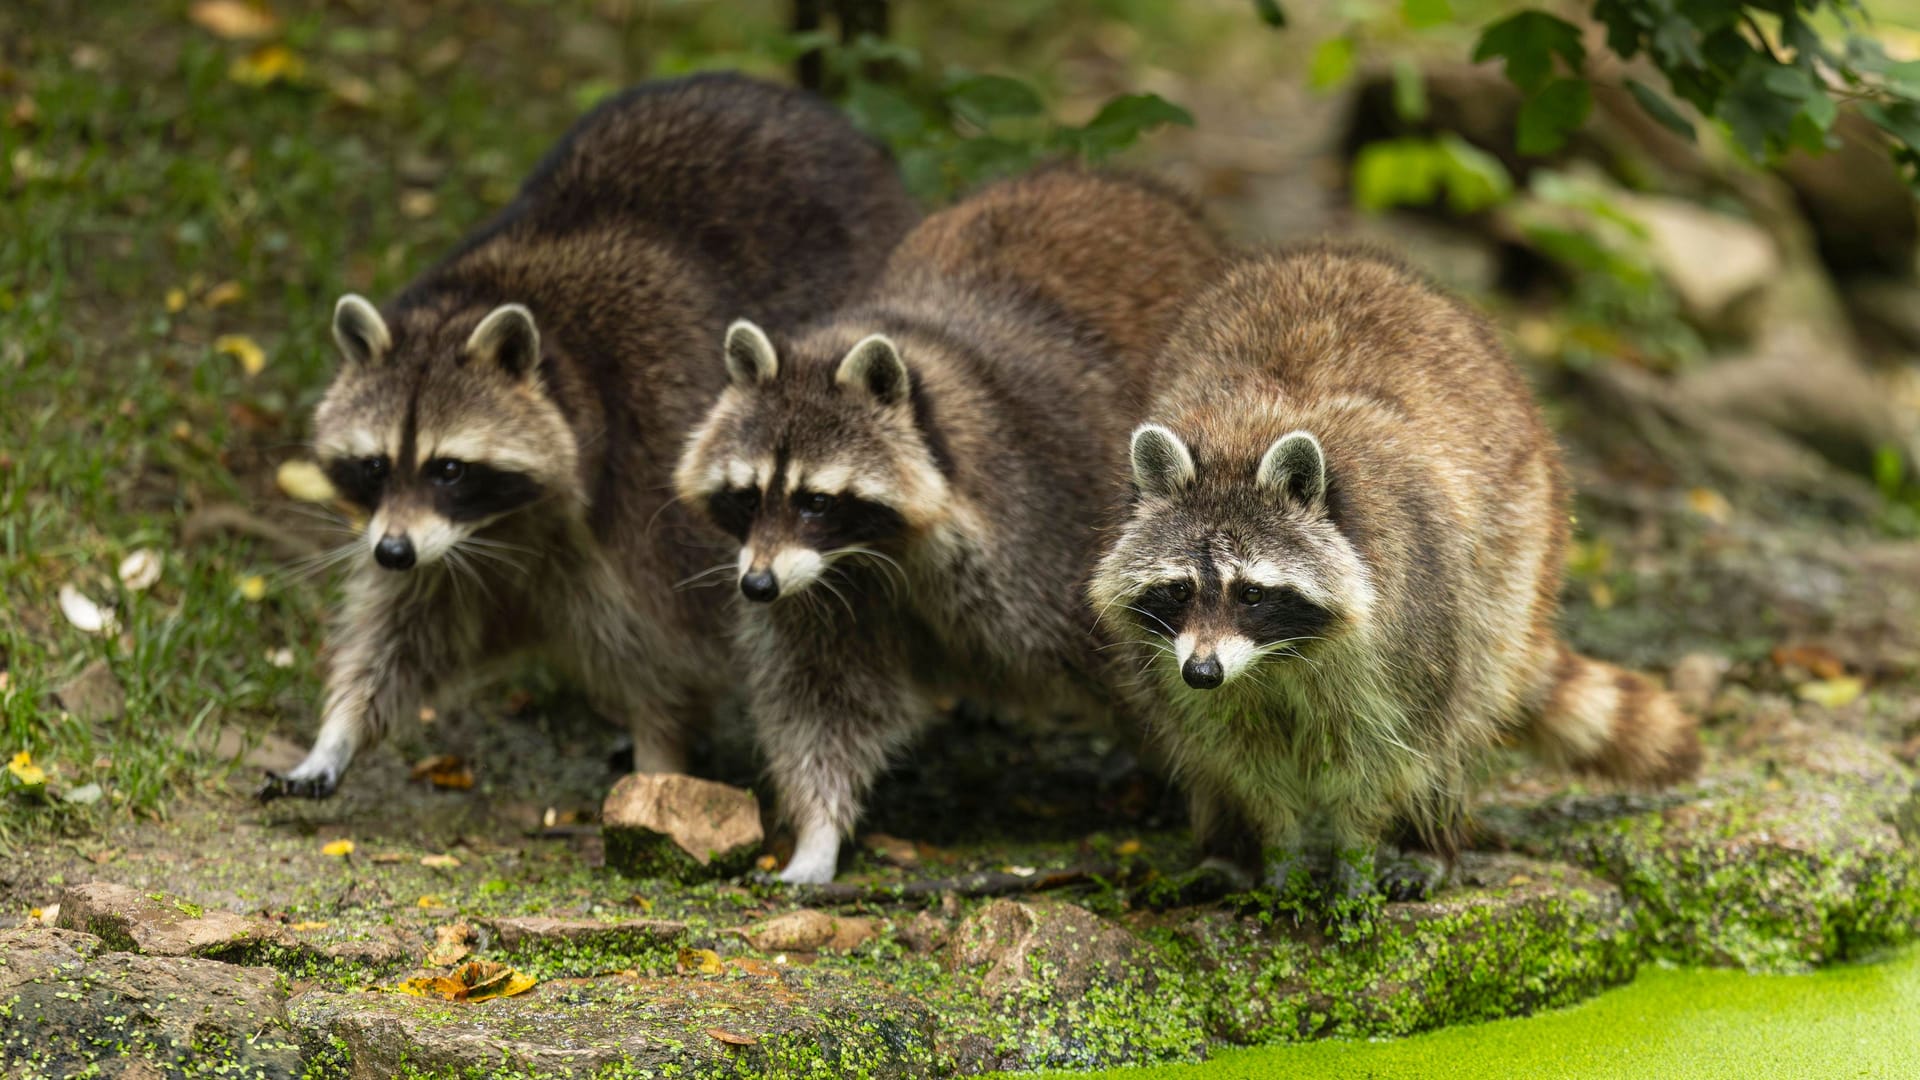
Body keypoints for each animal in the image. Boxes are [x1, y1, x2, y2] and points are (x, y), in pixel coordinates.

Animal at [259, 73, 917, 799]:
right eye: (375, 466)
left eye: (450, 468)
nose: (392, 553)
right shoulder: (446, 546)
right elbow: (405, 630)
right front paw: (339, 732)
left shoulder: (654, 470)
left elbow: (673, 646)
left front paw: (662, 759)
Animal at [672, 166, 1213, 876]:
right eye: (748, 495)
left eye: (815, 501)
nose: (756, 587)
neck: (882, 547)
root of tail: (1102, 176)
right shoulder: (823, 589)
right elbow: (821, 697)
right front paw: (819, 832)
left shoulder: (1047, 532)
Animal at [1090, 245, 1704, 907]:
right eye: (1180, 589)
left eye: (1251, 593)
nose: (1203, 672)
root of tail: (1335, 257)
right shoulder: (1176, 664)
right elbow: (1239, 761)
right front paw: (1274, 855)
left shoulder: (1410, 612)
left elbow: (1386, 754)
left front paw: (1356, 857)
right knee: (1206, 760)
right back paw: (1224, 850)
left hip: (1515, 551)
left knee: (1459, 715)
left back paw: (1427, 838)